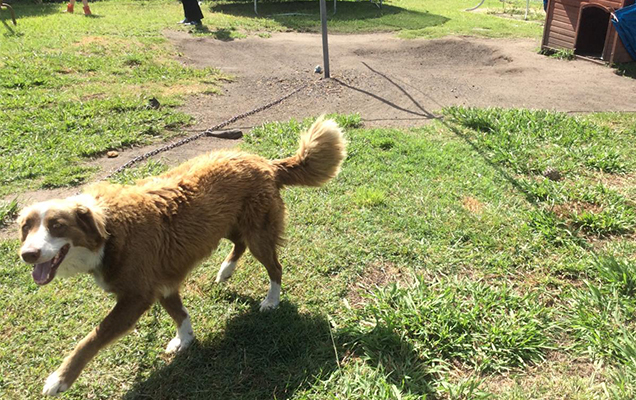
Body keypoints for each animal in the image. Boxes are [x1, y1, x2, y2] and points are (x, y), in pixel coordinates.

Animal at [17, 117, 346, 396]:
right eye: (25, 228)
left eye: (57, 226)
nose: (28, 255)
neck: (109, 230)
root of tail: (264, 162)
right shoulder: (162, 282)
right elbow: (179, 313)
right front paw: (185, 339)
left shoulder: (136, 296)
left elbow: (94, 336)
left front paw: (60, 378)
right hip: (224, 225)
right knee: (238, 245)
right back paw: (225, 271)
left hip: (258, 234)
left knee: (275, 267)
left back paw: (271, 300)